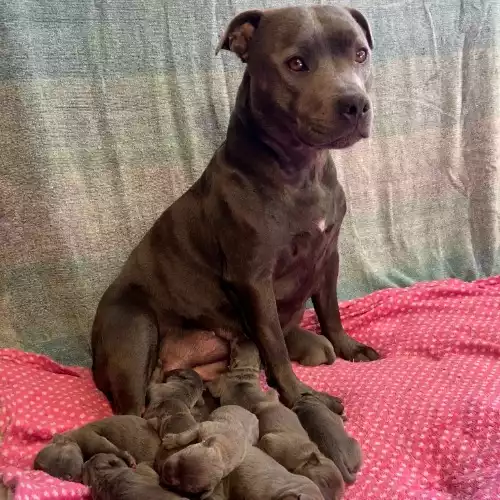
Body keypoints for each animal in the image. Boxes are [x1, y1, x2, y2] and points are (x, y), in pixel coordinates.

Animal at [91, 4, 378, 438]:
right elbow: (274, 344)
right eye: (296, 63)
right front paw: (301, 396)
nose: (355, 104)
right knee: (133, 409)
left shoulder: (328, 256)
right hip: (134, 326)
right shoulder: (253, 279)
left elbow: (330, 310)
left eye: (360, 54)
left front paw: (348, 347)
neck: (301, 171)